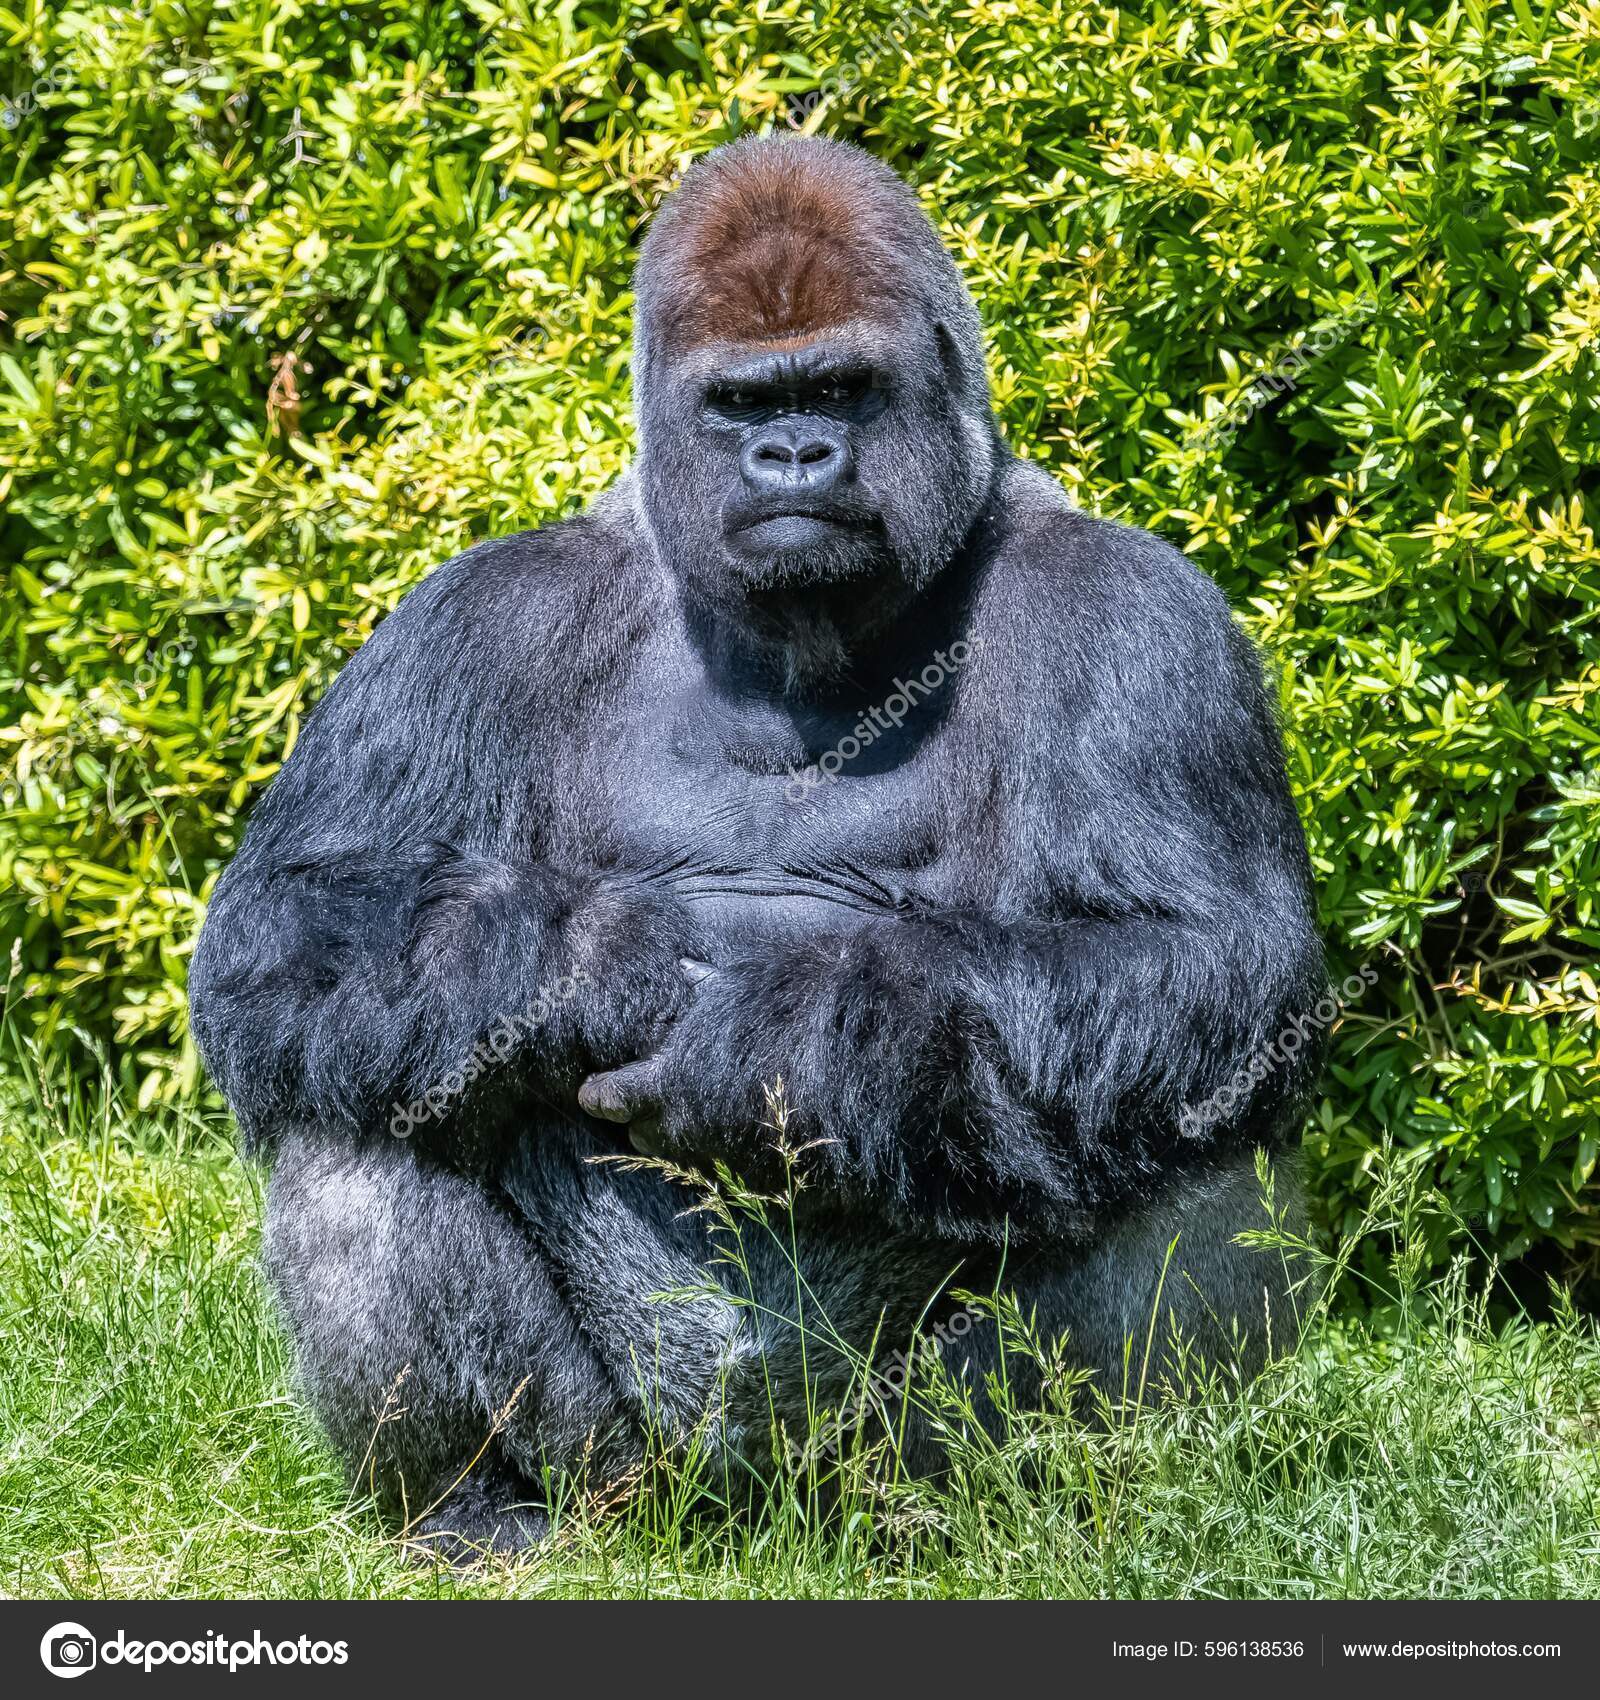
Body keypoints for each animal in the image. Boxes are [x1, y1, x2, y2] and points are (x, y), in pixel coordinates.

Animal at [187, 132, 1326, 1557]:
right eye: (741, 405)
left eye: (838, 386)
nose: (792, 454)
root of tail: (748, 1518)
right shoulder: (473, 612)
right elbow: (294, 924)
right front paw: (579, 963)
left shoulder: (1139, 616)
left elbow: (1203, 949)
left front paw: (785, 1041)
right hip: (626, 1477)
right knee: (360, 1102)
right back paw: (477, 1502)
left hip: (887, 1472)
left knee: (1181, 1123)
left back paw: (1089, 1507)